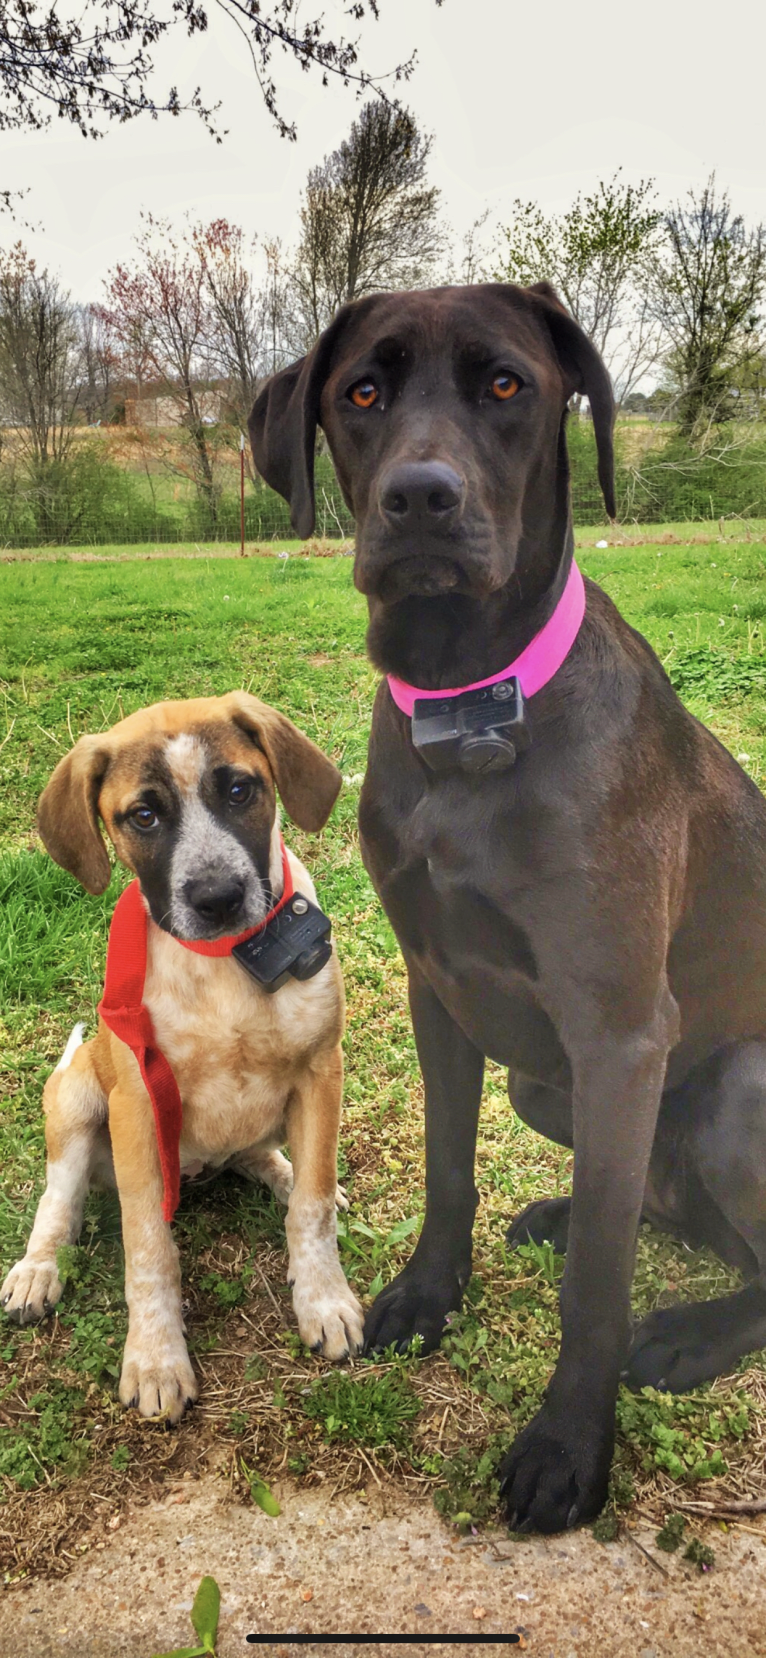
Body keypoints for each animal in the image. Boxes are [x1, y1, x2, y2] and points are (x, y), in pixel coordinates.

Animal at [0, 693, 364, 1419]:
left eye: (239, 790)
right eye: (143, 816)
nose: (218, 898)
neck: (222, 963)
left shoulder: (321, 1070)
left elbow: (310, 1207)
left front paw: (324, 1299)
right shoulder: (138, 1104)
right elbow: (148, 1247)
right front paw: (155, 1357)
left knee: (269, 1161)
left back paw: (287, 1174)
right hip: (78, 1097)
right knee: (59, 1200)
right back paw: (37, 1269)